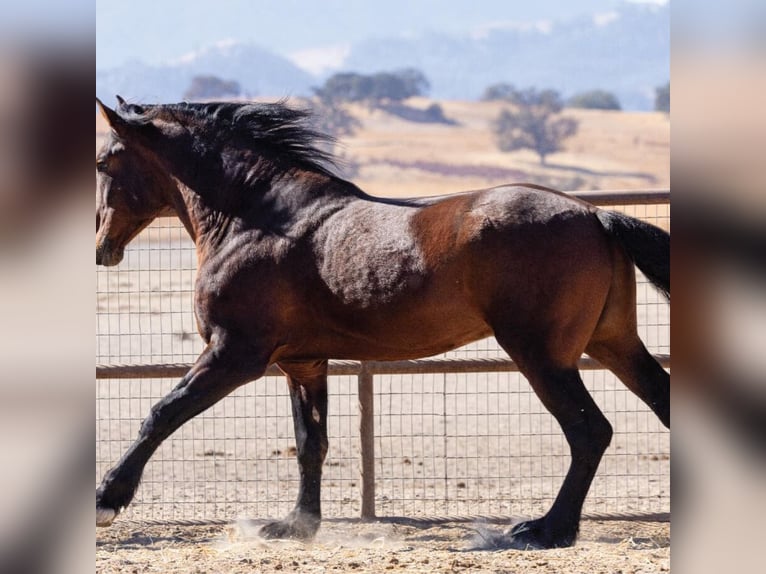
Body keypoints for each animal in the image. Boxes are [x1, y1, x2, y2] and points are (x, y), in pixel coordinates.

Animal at [97, 97, 672, 552]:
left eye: (104, 161)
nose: (102, 247)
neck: (256, 219)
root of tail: (595, 216)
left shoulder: (234, 353)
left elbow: (162, 413)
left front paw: (107, 498)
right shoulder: (303, 363)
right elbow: (311, 442)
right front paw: (296, 526)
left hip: (542, 355)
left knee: (588, 430)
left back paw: (546, 530)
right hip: (613, 343)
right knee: (657, 406)